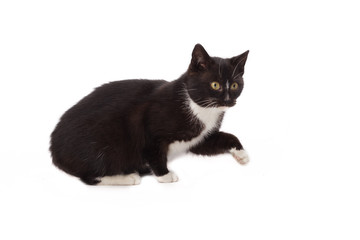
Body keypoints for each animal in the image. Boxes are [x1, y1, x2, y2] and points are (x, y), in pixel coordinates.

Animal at [49, 43, 249, 186]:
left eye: (234, 85)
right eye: (215, 85)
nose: (228, 100)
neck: (202, 110)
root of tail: (54, 151)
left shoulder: (199, 139)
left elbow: (226, 137)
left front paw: (241, 153)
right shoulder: (149, 125)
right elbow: (153, 149)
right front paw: (164, 175)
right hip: (105, 142)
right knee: (90, 177)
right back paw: (128, 177)